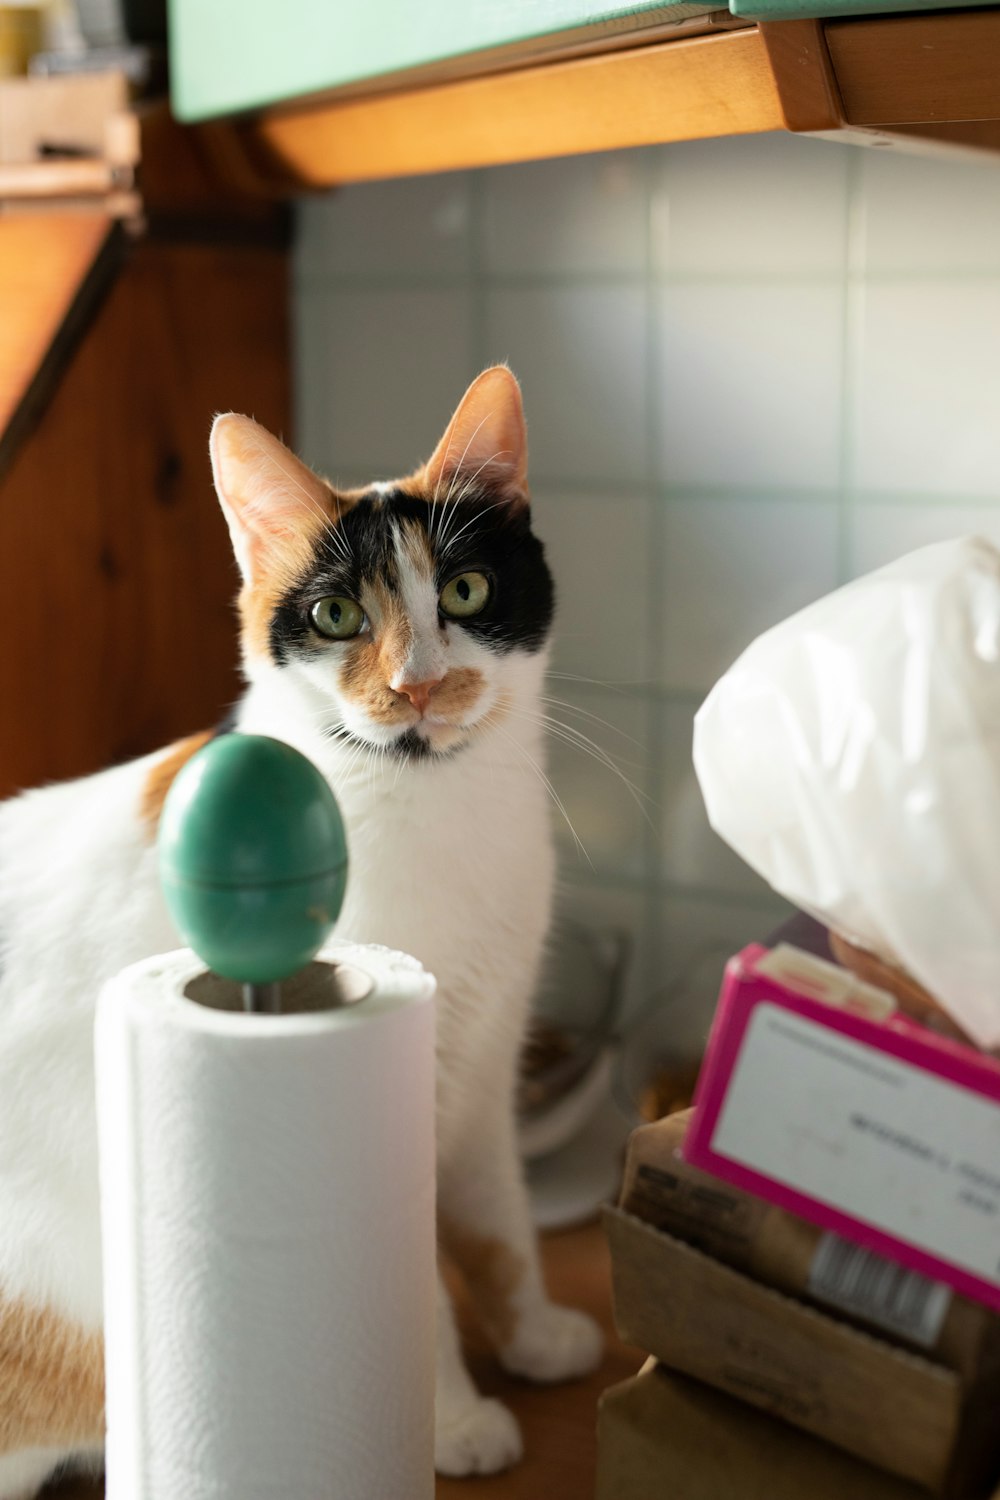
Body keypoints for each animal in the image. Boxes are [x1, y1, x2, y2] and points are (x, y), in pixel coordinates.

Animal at [0, 366, 602, 1500]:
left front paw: (537, 1334)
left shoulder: (484, 1061)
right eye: (334, 614)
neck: (438, 815)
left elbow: (498, 1219)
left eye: (466, 592)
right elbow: (418, 1279)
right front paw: (452, 1419)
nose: (418, 683)